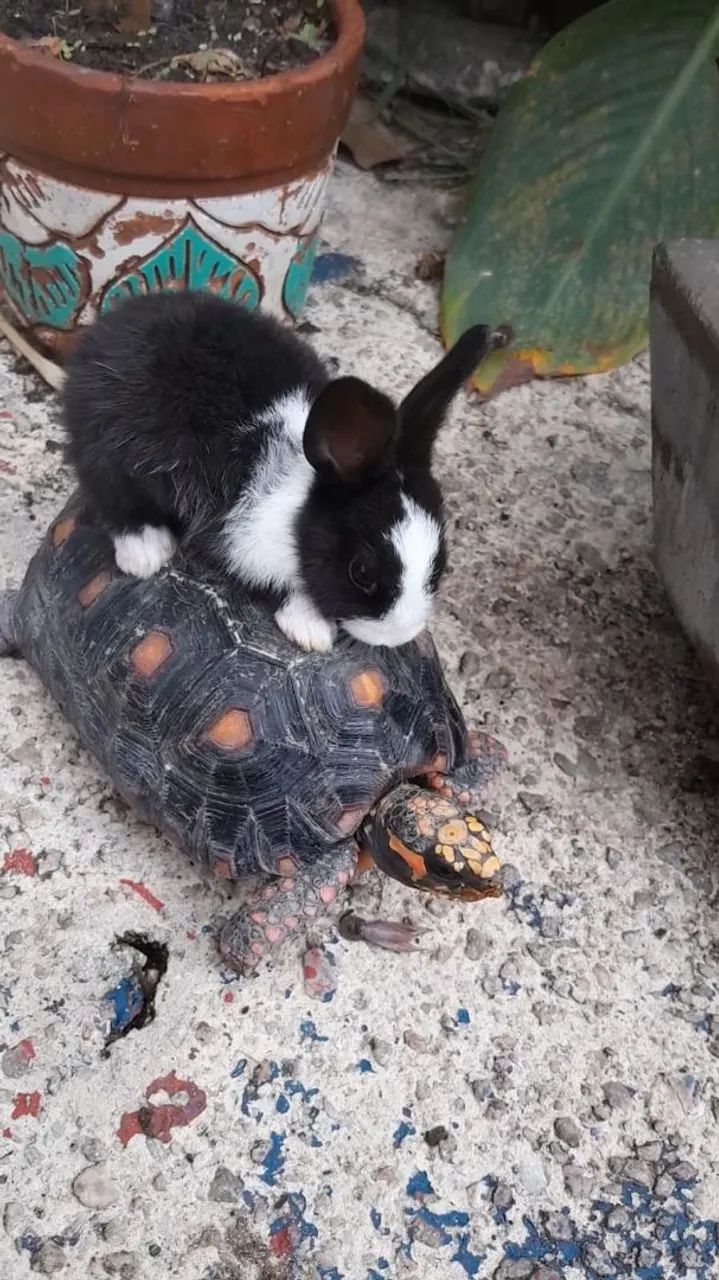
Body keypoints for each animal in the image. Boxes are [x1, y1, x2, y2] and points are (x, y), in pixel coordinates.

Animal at [62, 290, 511, 652]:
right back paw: (145, 550)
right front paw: (311, 628)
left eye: (440, 563)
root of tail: (105, 329)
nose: (399, 637)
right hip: (106, 447)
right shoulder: (238, 534)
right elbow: (271, 581)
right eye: (361, 571)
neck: (299, 508)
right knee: (109, 493)